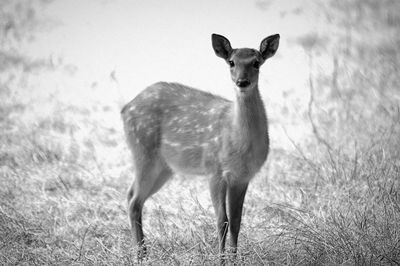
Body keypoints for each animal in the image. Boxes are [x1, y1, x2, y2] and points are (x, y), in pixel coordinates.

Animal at [120, 33, 280, 262]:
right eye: (231, 62)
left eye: (256, 62)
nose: (242, 82)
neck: (238, 141)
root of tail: (125, 108)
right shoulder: (214, 170)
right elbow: (222, 221)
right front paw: (221, 260)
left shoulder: (242, 177)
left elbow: (237, 221)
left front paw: (234, 259)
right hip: (143, 151)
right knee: (133, 199)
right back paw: (140, 256)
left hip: (163, 167)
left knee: (133, 197)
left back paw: (143, 253)